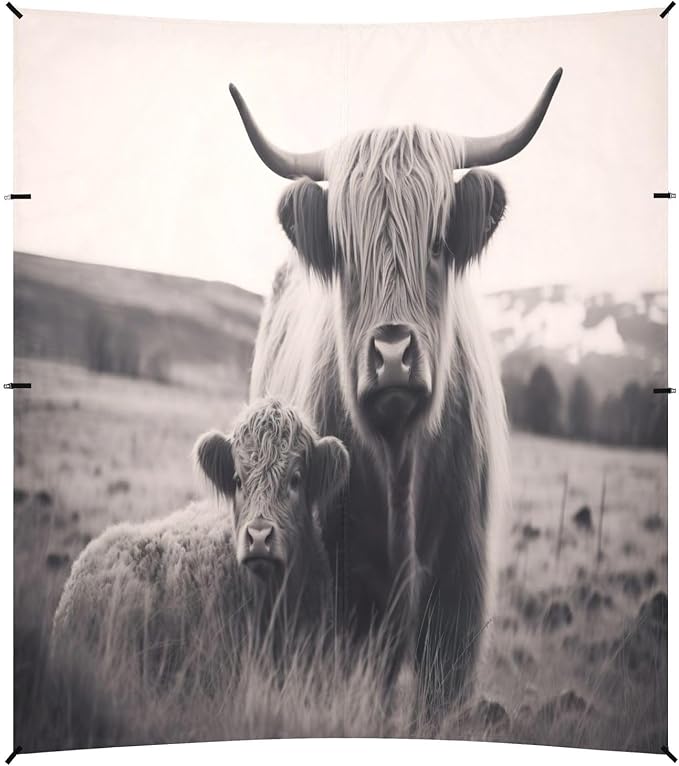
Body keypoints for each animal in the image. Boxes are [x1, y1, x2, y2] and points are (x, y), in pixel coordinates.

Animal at [229, 69, 562, 709]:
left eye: (436, 243)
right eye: (346, 253)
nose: (390, 356)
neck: (399, 452)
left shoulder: (459, 592)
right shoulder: (334, 593)